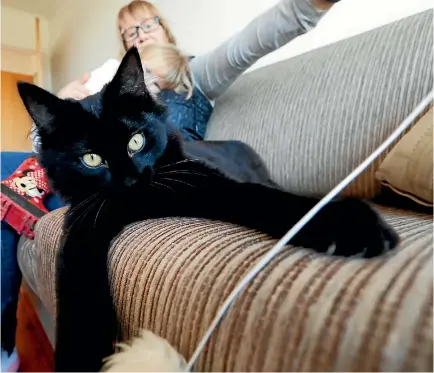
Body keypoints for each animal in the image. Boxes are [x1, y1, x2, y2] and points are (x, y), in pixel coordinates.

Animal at [17, 48, 400, 370]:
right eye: (92, 159)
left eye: (136, 141)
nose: (130, 180)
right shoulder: (80, 232)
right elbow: (77, 299)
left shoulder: (206, 182)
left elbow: (258, 197)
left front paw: (347, 223)